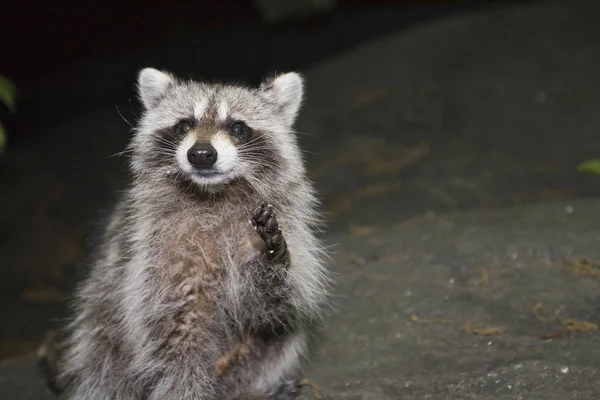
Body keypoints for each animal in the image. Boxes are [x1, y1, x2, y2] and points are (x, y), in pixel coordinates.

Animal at [50, 69, 332, 400]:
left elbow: (273, 307)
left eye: (237, 127)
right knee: (102, 365)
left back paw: (249, 390)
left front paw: (272, 255)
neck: (211, 195)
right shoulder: (153, 258)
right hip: (99, 320)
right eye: (185, 124)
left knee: (284, 336)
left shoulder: (287, 223)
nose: (201, 154)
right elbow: (176, 342)